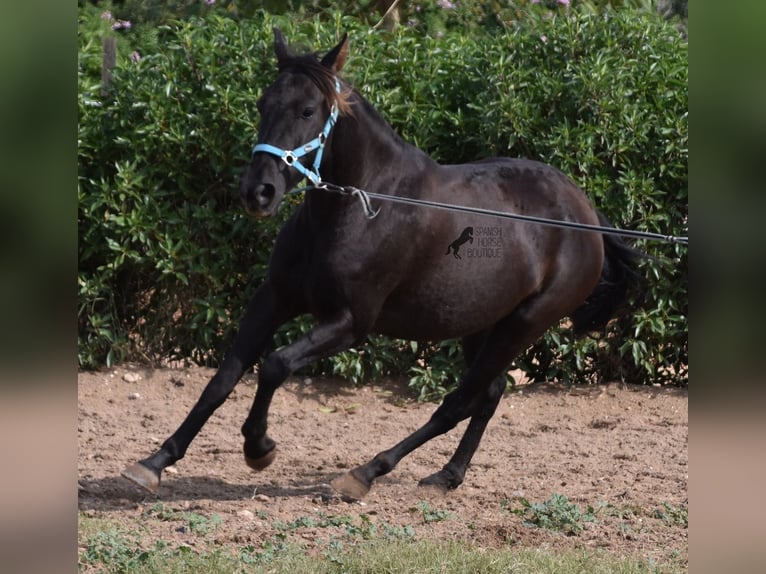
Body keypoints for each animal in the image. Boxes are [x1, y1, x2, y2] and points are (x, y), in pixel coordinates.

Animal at [124, 29, 636, 502]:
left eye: (307, 110)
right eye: (261, 103)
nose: (258, 192)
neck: (360, 207)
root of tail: (586, 215)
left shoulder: (351, 322)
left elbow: (274, 365)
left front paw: (259, 447)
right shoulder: (274, 298)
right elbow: (224, 377)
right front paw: (154, 462)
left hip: (525, 323)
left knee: (458, 401)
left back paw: (366, 472)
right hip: (481, 323)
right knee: (489, 394)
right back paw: (447, 476)